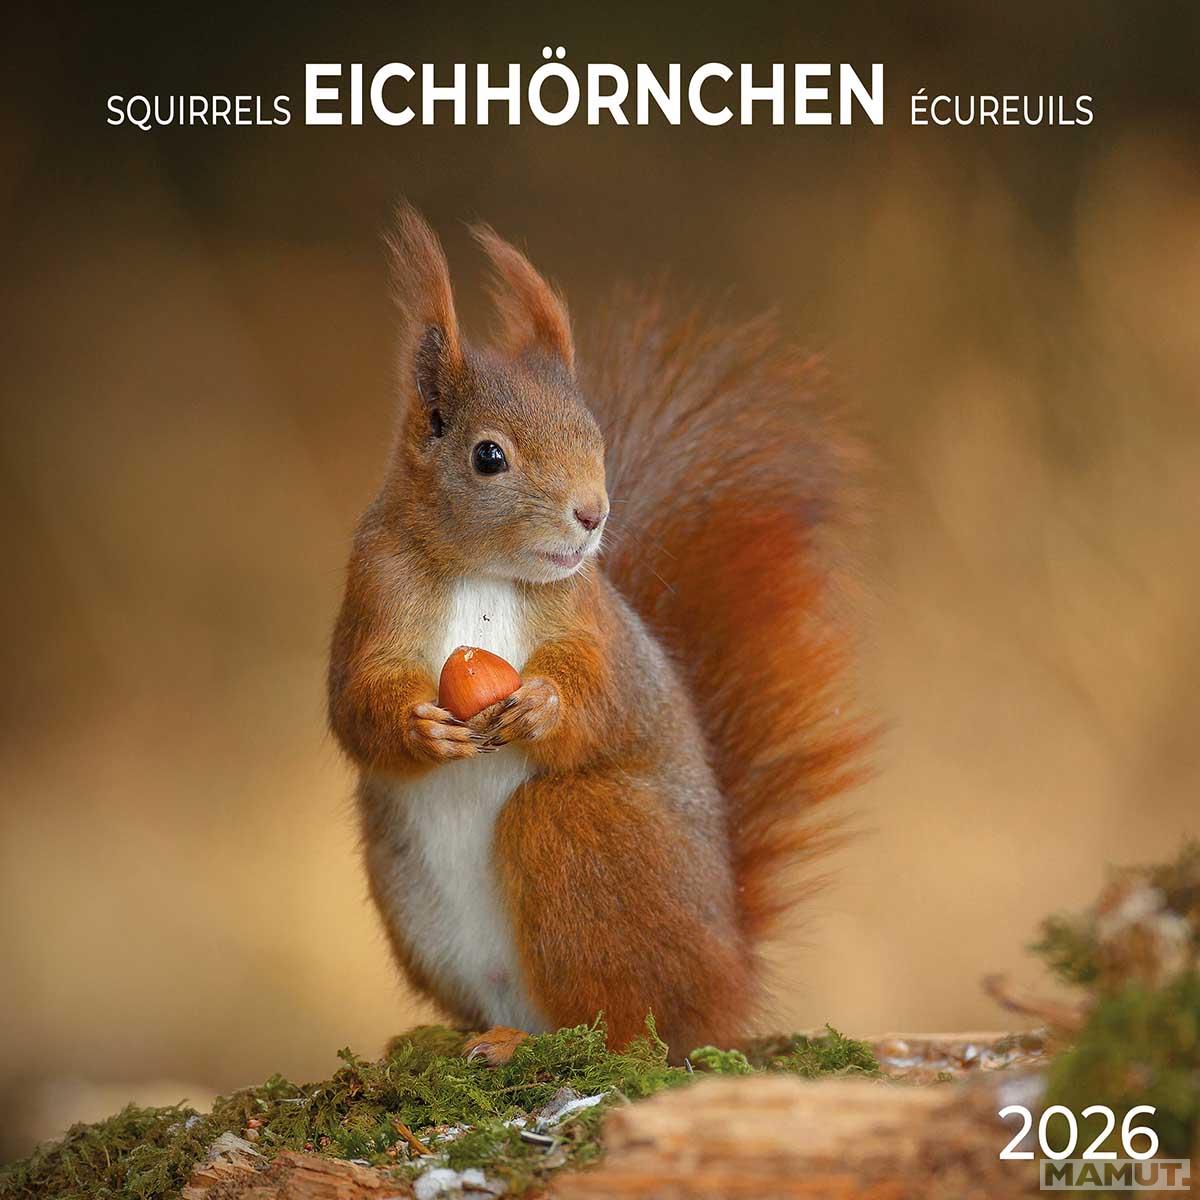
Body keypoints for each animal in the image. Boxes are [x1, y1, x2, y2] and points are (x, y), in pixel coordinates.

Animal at [328, 203, 869, 1065]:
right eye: (488, 456)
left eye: (595, 436)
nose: (592, 514)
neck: (482, 571)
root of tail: (727, 984)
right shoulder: (373, 592)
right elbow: (354, 702)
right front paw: (419, 727)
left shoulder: (592, 620)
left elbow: (603, 692)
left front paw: (544, 705)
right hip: (409, 893)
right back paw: (463, 1039)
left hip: (585, 833)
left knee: (621, 1024)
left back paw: (538, 1044)